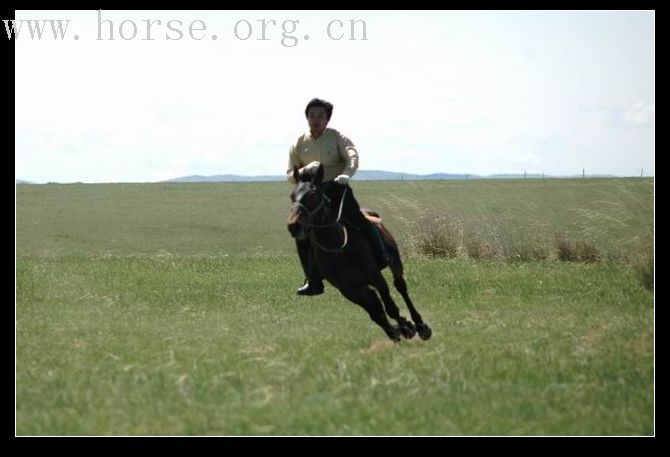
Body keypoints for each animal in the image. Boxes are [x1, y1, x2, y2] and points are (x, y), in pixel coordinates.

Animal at [286, 164, 434, 342]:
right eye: (292, 195)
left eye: (313, 195)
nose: (294, 226)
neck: (339, 249)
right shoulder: (349, 290)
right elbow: (376, 314)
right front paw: (398, 331)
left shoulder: (376, 277)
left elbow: (390, 307)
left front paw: (407, 328)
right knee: (375, 301)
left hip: (395, 263)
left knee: (401, 287)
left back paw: (420, 325)